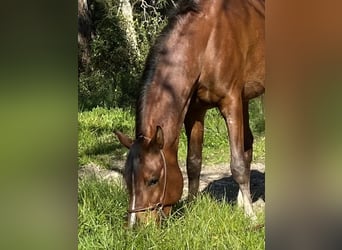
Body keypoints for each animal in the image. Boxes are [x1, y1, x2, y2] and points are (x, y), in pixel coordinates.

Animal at [115, 0, 264, 228]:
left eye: (153, 180)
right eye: (126, 179)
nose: (135, 226)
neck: (207, 43)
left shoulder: (231, 103)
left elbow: (237, 163)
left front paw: (251, 217)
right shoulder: (195, 111)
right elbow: (193, 163)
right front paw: (191, 207)